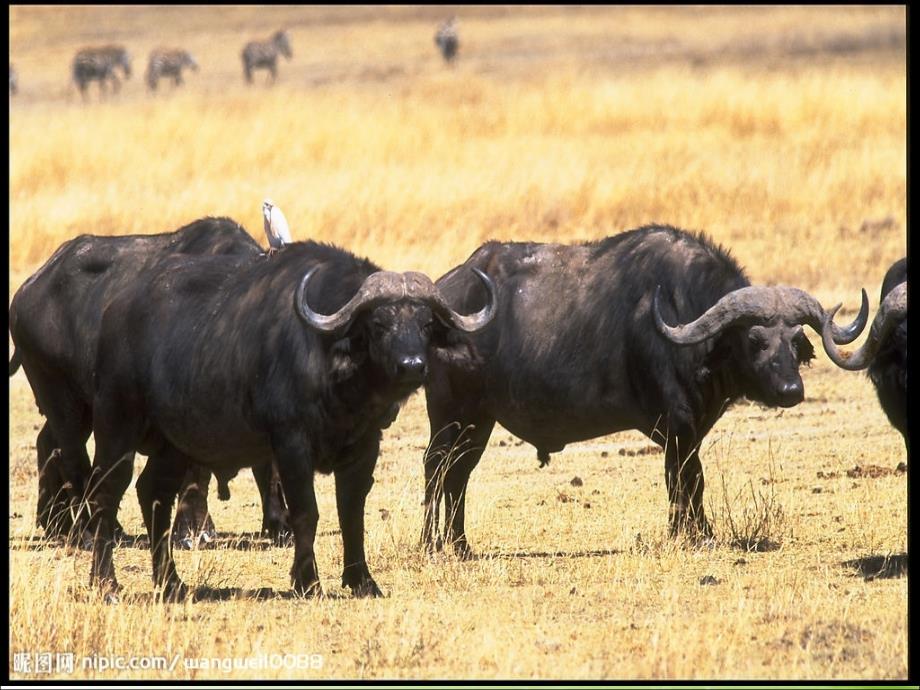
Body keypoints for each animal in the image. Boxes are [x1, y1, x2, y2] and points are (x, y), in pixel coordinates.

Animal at [7, 218, 286, 544]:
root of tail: (28, 290)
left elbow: (268, 467)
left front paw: (280, 525)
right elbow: (196, 473)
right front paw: (191, 529)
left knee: (48, 444)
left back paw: (62, 523)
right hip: (63, 402)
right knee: (73, 459)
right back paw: (87, 530)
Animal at [86, 241, 496, 596]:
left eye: (426, 324)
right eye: (379, 324)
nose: (412, 366)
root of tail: (113, 312)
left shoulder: (364, 446)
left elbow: (352, 514)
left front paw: (362, 581)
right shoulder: (291, 445)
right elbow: (305, 512)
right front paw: (307, 581)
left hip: (175, 446)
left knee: (152, 493)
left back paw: (170, 582)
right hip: (116, 427)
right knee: (105, 495)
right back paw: (106, 583)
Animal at [420, 226, 868, 552]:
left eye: (794, 341)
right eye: (756, 340)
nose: (791, 389)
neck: (686, 321)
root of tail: (443, 297)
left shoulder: (689, 430)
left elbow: (686, 480)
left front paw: (689, 532)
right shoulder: (678, 426)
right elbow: (689, 479)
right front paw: (696, 535)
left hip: (478, 422)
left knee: (457, 475)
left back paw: (460, 546)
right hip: (450, 415)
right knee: (435, 467)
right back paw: (430, 544)